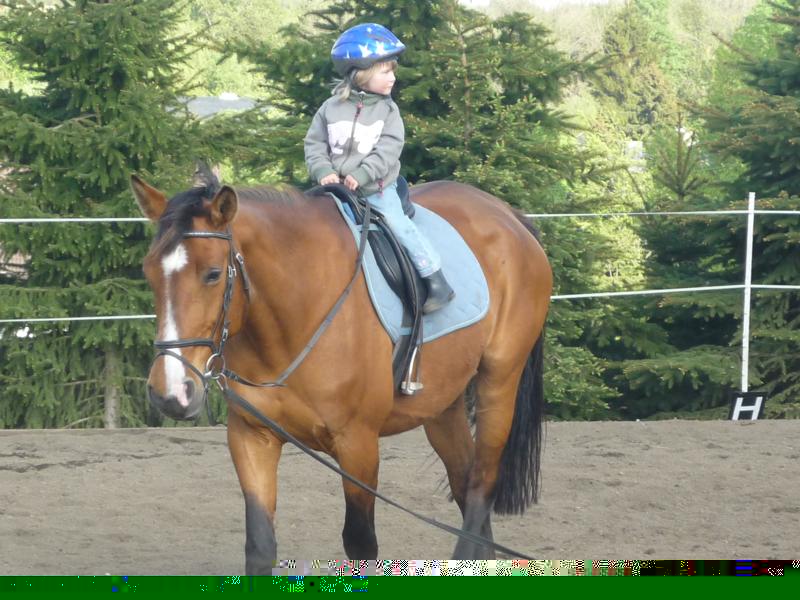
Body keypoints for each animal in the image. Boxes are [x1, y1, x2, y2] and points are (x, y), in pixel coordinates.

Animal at [131, 172, 552, 573]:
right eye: (149, 273)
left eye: (214, 274)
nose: (170, 392)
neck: (296, 314)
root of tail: (507, 214)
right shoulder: (251, 436)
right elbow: (260, 547)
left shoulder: (358, 445)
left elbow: (361, 545)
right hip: (442, 405)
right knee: (465, 486)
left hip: (498, 383)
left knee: (482, 484)